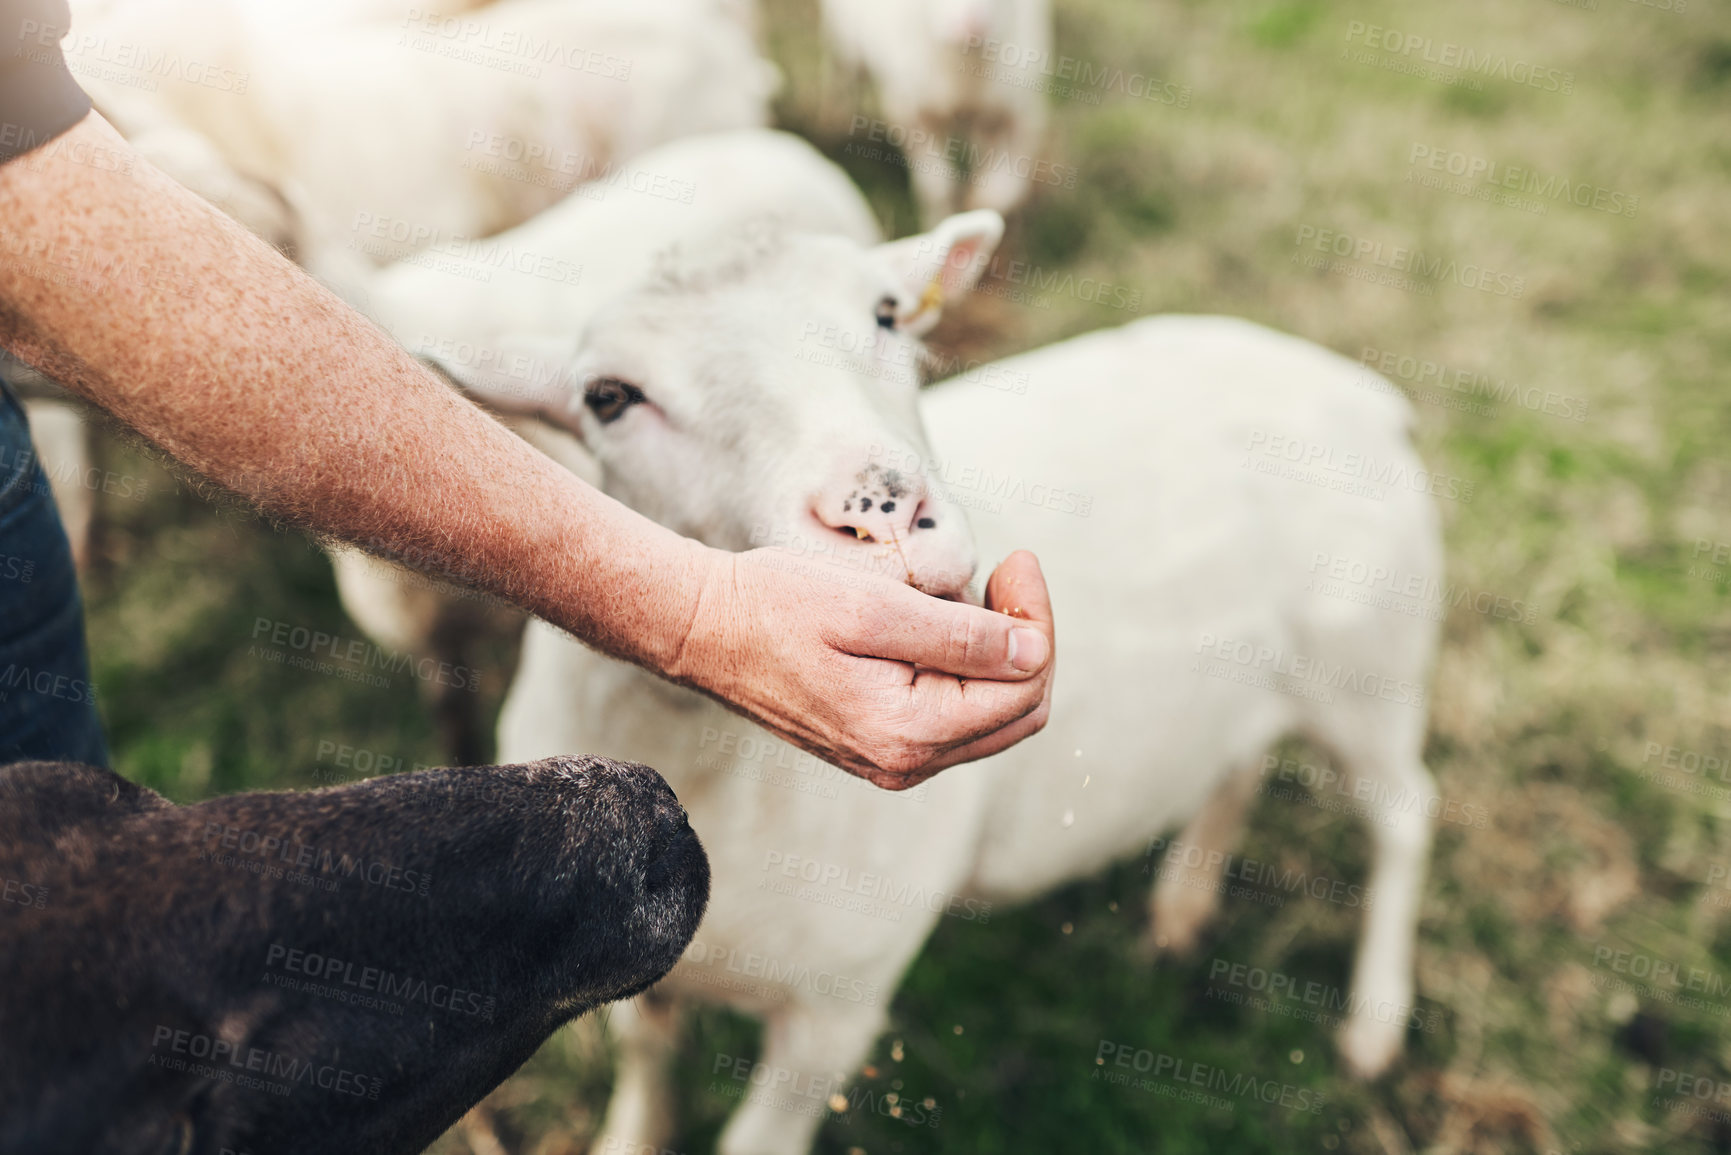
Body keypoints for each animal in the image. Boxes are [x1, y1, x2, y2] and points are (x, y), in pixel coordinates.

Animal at [416, 198, 1441, 1151]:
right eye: (609, 397)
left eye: (886, 313)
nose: (882, 507)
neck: (709, 764)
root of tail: (1350, 384)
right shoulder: (631, 968)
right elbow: (645, 1061)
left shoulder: (839, 1004)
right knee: (1237, 762)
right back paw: (1183, 905)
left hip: (1368, 665)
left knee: (1403, 813)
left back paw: (1374, 1024)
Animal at [818, 0, 1052, 226]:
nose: (972, 27)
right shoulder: (912, 114)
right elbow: (938, 190)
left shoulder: (1021, 116)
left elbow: (1002, 195)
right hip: (845, 49)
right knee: (841, 80)